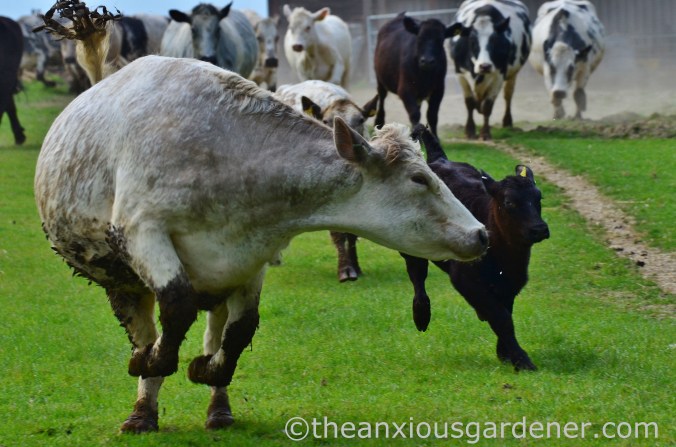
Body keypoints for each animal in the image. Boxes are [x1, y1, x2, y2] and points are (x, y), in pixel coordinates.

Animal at [274, 79, 378, 281]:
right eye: (325, 121)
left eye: (360, 120)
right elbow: (338, 233)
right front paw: (345, 269)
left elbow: (352, 234)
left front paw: (356, 266)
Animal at [402, 125, 549, 371]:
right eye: (509, 202)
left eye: (539, 199)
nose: (539, 229)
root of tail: (439, 159)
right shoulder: (465, 279)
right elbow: (501, 318)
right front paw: (522, 360)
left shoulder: (511, 283)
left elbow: (505, 314)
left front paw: (505, 353)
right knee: (417, 275)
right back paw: (421, 315)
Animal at [450, 0, 532, 140]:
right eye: (472, 40)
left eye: (494, 40)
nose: (485, 66)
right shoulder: (460, 74)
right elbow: (469, 103)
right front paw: (469, 131)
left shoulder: (498, 76)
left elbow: (488, 106)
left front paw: (485, 133)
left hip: (513, 75)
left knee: (508, 96)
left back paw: (507, 122)